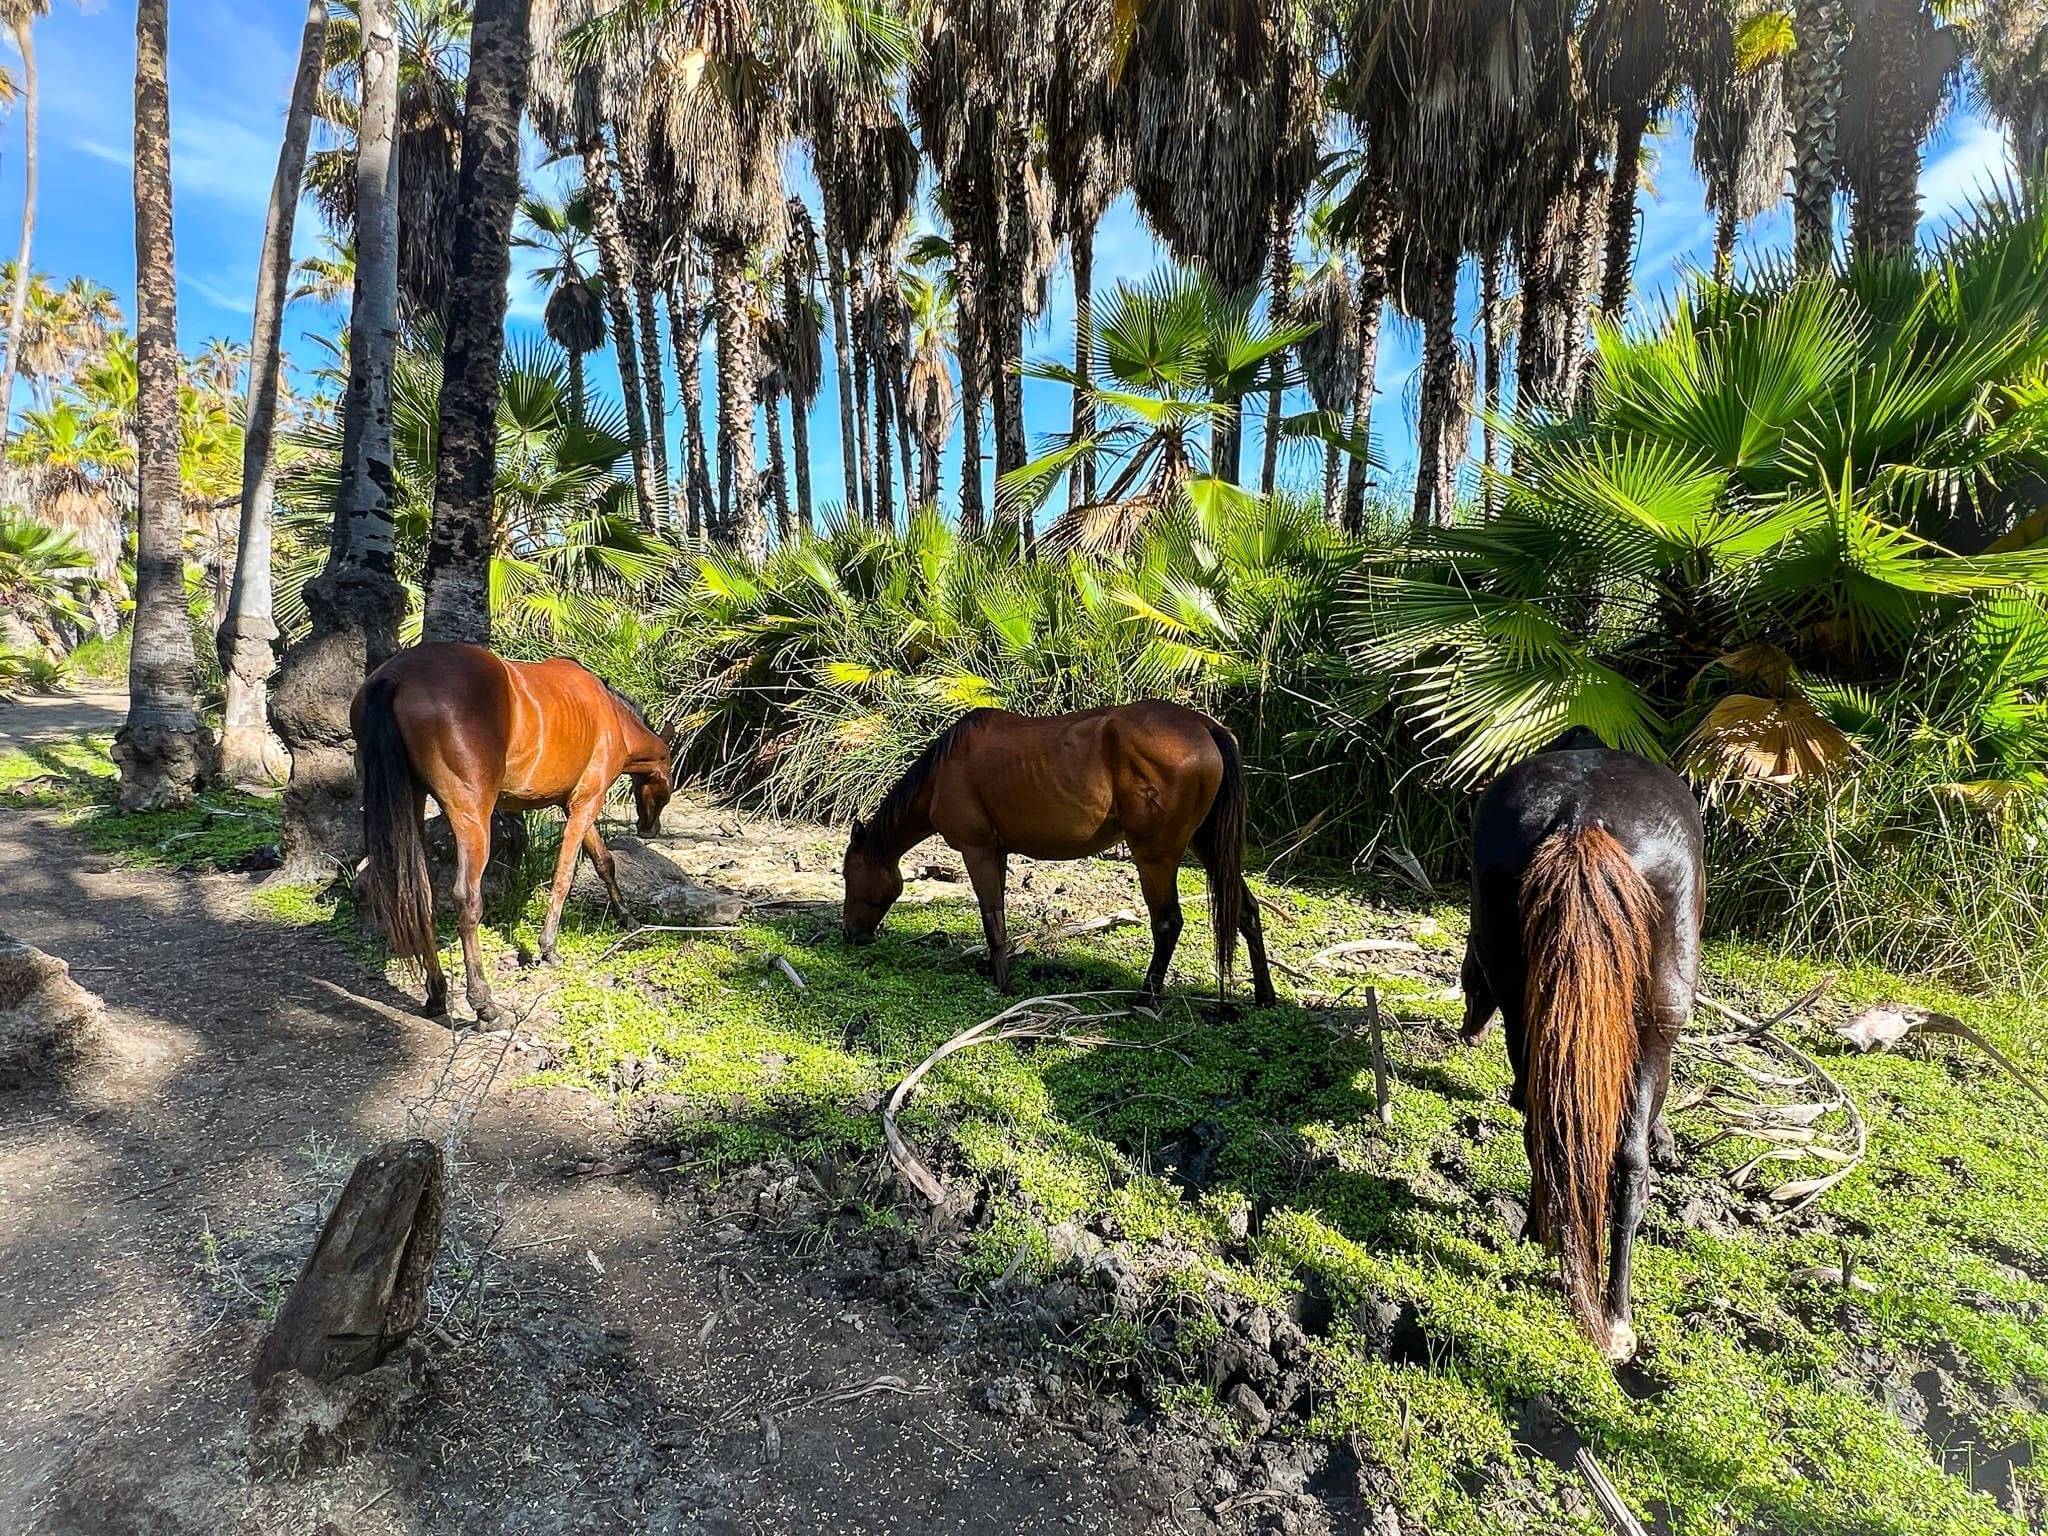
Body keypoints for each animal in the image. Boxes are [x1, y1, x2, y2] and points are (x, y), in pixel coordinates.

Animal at [350, 643, 671, 1028]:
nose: (649, 828)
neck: (611, 716)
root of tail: (395, 676)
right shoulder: (587, 802)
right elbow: (564, 875)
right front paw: (548, 947)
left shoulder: (573, 804)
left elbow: (604, 862)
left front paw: (627, 917)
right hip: (471, 816)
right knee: (466, 900)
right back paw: (484, 1005)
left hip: (410, 804)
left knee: (420, 896)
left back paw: (437, 994)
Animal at [839, 708, 1269, 1011]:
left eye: (846, 875)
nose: (850, 935)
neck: (943, 772)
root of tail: (1204, 726)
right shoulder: (997, 852)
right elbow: (997, 921)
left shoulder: (977, 850)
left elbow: (992, 920)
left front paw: (1003, 987)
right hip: (1208, 847)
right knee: (1246, 910)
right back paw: (1265, 995)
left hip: (1156, 856)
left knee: (1167, 923)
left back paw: (1145, 999)